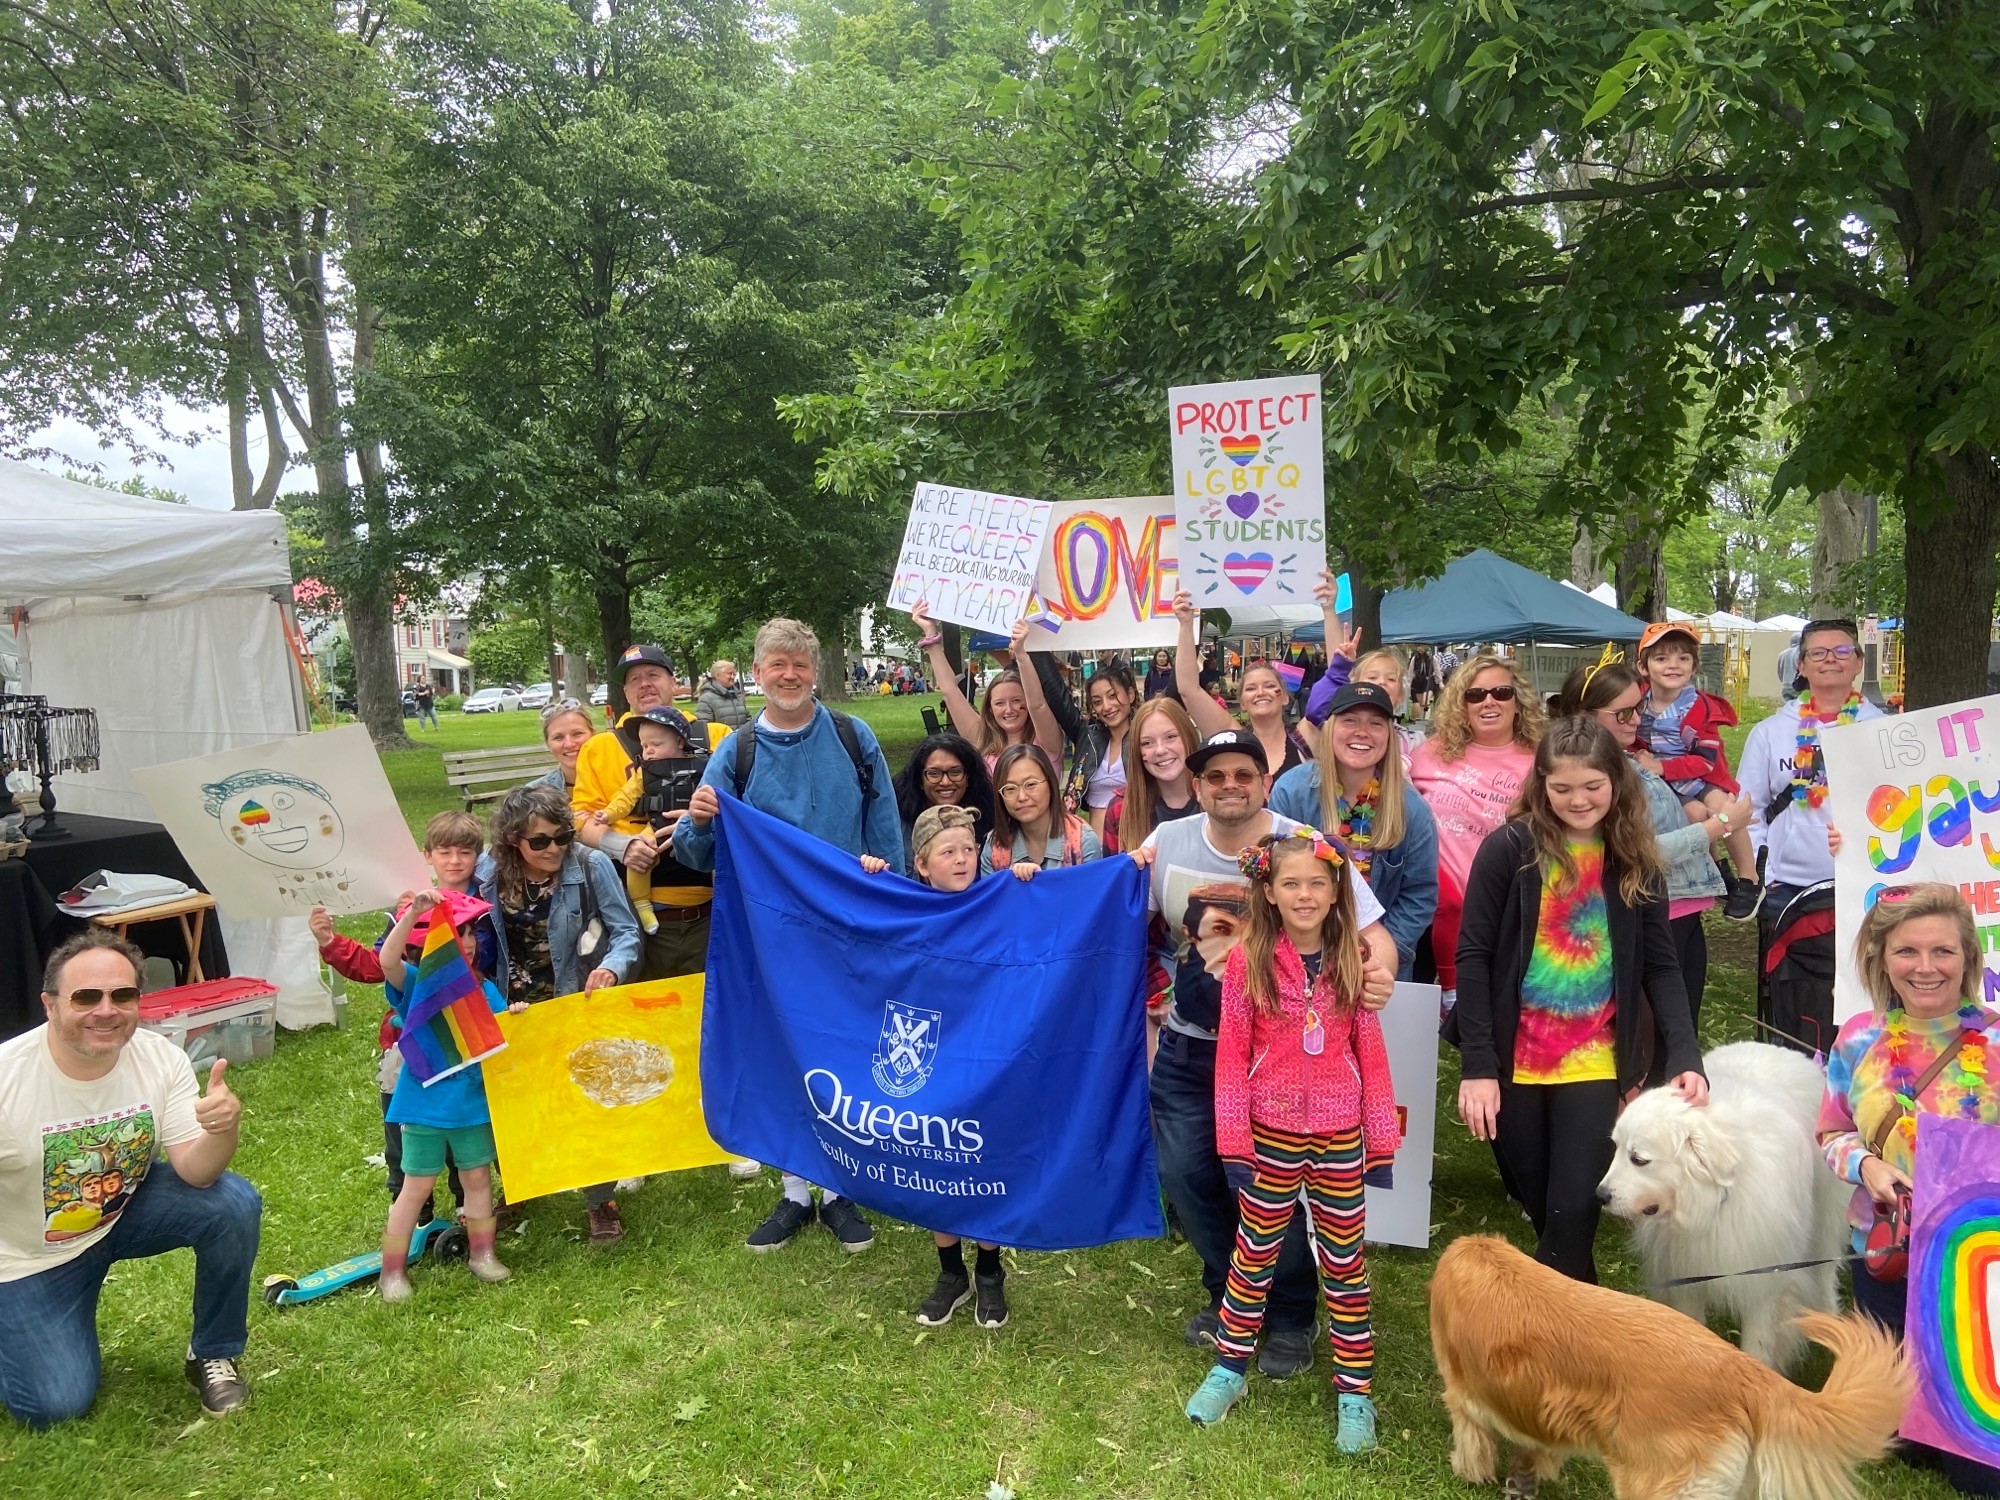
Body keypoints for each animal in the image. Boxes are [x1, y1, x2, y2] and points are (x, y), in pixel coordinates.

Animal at [1592, 1048, 1856, 1376]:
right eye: (1615, 1148)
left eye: (1639, 1159)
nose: (1600, 1195)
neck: (1711, 1207)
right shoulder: (1685, 1276)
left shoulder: (1764, 1283)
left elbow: (1758, 1346)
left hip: (1824, 1222)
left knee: (1825, 1272)